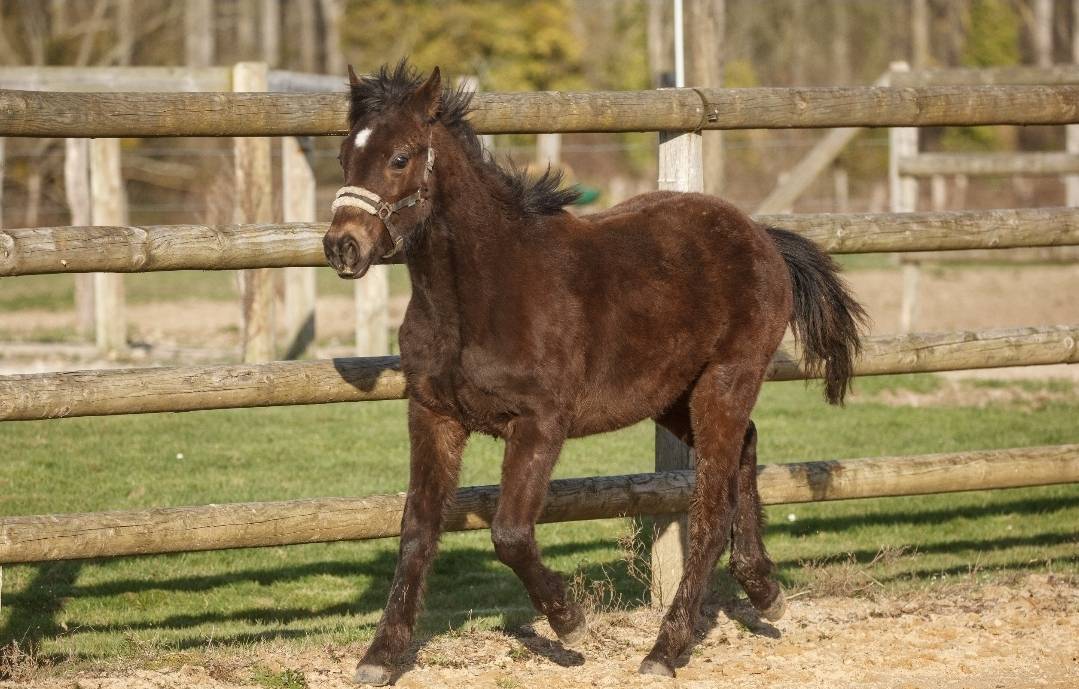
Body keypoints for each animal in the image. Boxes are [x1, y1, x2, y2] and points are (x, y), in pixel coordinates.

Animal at [323, 61, 866, 685]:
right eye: (344, 154)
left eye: (401, 157)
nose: (342, 247)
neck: (478, 298)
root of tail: (761, 236)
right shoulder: (434, 414)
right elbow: (416, 529)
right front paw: (380, 655)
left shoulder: (540, 422)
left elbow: (510, 533)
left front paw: (569, 623)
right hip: (672, 397)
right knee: (746, 450)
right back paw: (765, 590)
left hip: (726, 381)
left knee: (709, 511)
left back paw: (665, 649)